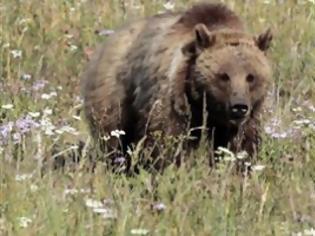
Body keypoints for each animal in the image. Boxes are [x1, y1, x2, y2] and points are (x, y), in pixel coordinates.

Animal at [81, 1, 274, 171]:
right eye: (223, 76)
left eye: (251, 77)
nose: (239, 106)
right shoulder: (173, 98)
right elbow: (168, 141)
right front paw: (172, 169)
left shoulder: (247, 117)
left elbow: (241, 144)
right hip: (115, 94)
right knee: (113, 137)